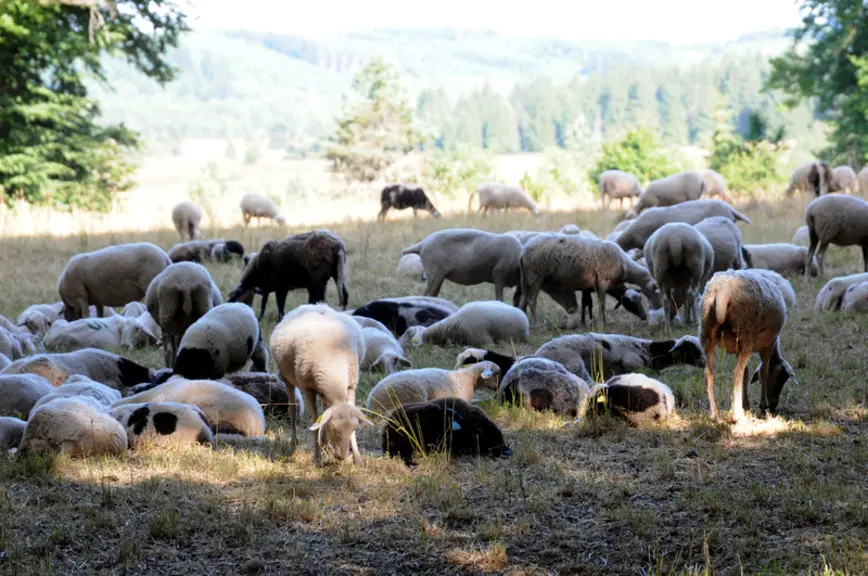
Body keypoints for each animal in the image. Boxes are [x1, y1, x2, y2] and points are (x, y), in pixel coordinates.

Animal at [269, 304, 369, 465]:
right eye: (335, 430)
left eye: (353, 429)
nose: (341, 457)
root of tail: (311, 305)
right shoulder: (307, 390)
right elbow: (316, 424)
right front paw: (317, 459)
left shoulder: (351, 386)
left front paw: (357, 458)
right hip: (287, 378)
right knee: (292, 409)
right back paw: (294, 442)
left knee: (325, 407)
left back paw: (325, 445)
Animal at [518, 233, 662, 327]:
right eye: (629, 302)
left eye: (640, 299)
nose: (644, 316)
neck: (624, 264)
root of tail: (523, 253)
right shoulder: (602, 283)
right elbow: (602, 304)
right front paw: (603, 323)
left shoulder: (587, 287)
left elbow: (586, 303)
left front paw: (585, 323)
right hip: (536, 277)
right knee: (531, 301)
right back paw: (537, 326)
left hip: (526, 279)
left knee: (523, 301)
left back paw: (525, 321)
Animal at [700, 270, 795, 422]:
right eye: (780, 380)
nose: (774, 406)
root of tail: (723, 291)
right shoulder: (770, 343)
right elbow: (764, 371)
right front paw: (763, 405)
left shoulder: (738, 348)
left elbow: (747, 373)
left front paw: (745, 404)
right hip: (747, 332)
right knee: (736, 372)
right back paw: (737, 415)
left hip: (707, 332)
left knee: (708, 373)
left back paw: (714, 414)